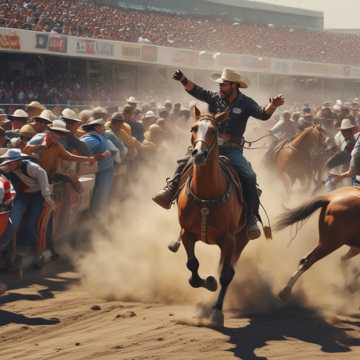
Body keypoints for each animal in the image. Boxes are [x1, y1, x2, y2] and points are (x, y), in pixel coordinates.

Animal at [176, 106, 249, 326]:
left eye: (214, 131)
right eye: (193, 128)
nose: (199, 154)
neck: (207, 195)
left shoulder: (230, 239)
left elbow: (225, 275)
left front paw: (217, 312)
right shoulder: (187, 234)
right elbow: (192, 267)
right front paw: (208, 283)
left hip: (240, 241)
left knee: (229, 270)